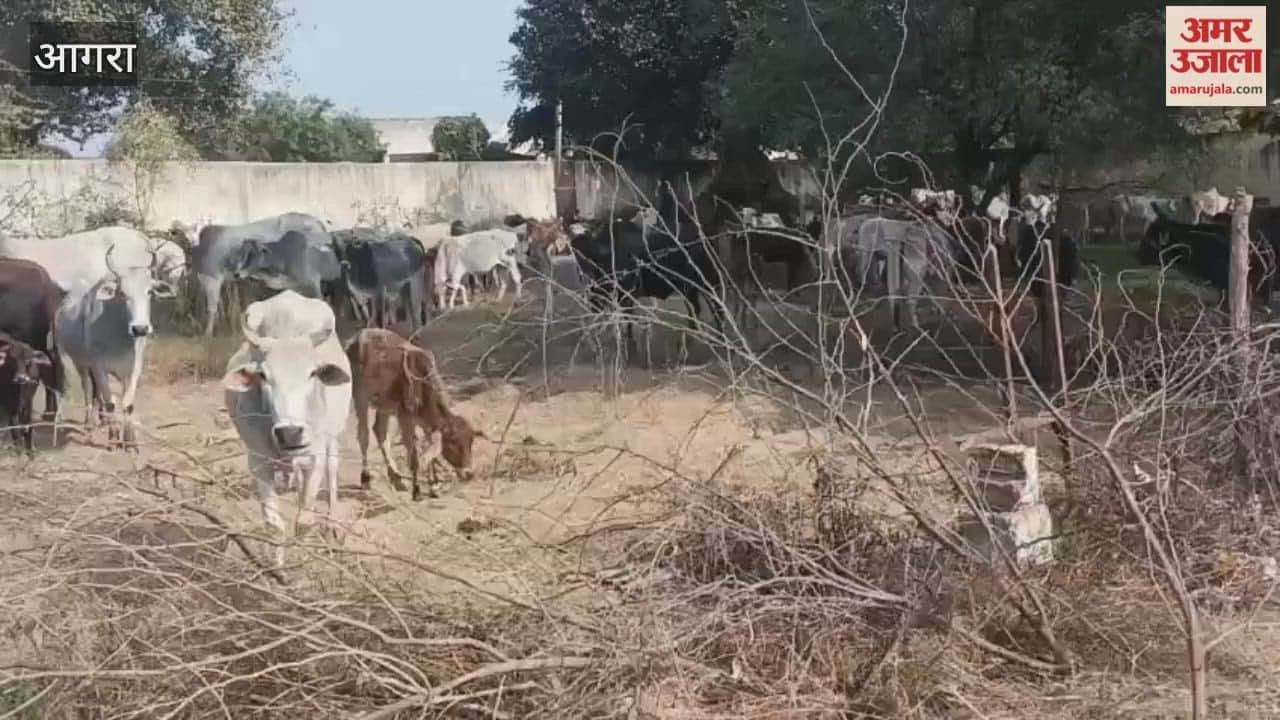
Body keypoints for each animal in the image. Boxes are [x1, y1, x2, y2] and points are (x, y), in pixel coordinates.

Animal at [55, 246, 177, 448]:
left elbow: (128, 403)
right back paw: (89, 422)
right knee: (87, 387)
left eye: (149, 292)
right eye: (122, 293)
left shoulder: (133, 366)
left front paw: (130, 439)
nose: (140, 328)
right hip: (80, 362)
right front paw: (113, 438)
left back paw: (102, 419)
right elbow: (111, 402)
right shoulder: (99, 366)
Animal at [187, 213, 332, 336]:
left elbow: (212, 308)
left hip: (307, 274)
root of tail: (317, 222)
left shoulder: (212, 277)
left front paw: (207, 333)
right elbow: (220, 306)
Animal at [222, 290, 352, 568]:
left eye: (312, 373)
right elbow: (274, 524)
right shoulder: (258, 461)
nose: (290, 433)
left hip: (333, 439)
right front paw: (277, 567)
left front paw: (303, 558)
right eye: (263, 376)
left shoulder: (315, 457)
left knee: (332, 474)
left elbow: (304, 520)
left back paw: (332, 526)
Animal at [345, 328, 486, 501]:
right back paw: (366, 478)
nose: (468, 473)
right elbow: (414, 457)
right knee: (363, 435)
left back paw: (396, 478)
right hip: (360, 396)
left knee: (380, 431)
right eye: (452, 442)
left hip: (384, 406)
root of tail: (357, 336)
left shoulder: (427, 423)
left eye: (471, 441)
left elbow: (430, 450)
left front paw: (434, 485)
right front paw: (417, 490)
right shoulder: (405, 417)